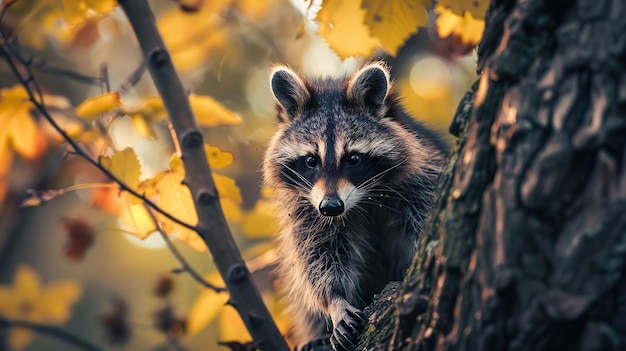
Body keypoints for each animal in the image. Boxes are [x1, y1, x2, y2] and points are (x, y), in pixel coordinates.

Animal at [260, 62, 446, 350]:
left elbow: (424, 222)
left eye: (354, 159)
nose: (331, 207)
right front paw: (335, 300)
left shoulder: (422, 179)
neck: (364, 199)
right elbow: (317, 256)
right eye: (311, 161)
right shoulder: (306, 208)